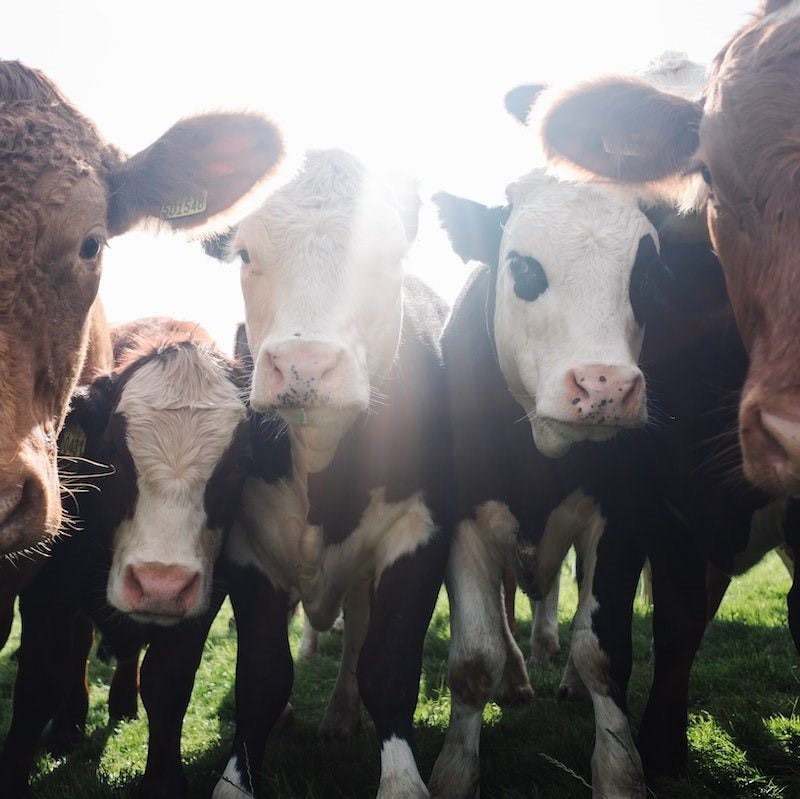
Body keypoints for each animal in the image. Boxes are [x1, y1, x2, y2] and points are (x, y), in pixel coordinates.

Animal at [0, 318, 294, 799]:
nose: (160, 584)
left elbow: (168, 681)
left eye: (240, 464)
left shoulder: (204, 598)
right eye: (114, 455)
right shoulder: (49, 588)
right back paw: (70, 726)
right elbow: (39, 680)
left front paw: (163, 781)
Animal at [203, 148, 454, 792]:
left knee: (358, 633)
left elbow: (387, 666)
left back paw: (340, 713)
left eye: (388, 255)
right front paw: (234, 781)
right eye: (245, 253)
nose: (304, 364)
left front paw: (401, 782)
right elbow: (262, 677)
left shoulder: (419, 532)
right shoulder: (246, 546)